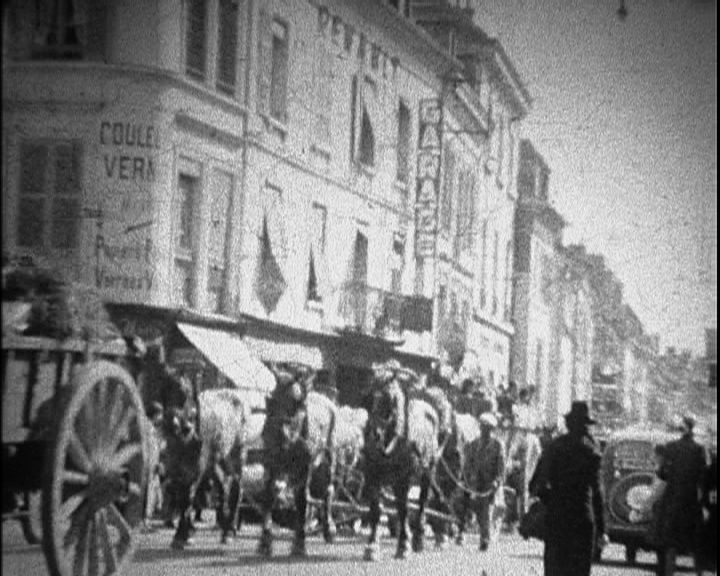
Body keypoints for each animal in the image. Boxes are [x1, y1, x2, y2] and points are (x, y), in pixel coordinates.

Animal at [258, 364, 338, 560]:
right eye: (270, 401)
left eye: (297, 403)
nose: (273, 435)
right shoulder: (271, 461)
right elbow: (268, 494)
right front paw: (265, 542)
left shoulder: (305, 466)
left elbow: (301, 500)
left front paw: (299, 545)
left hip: (328, 456)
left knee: (327, 489)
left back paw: (328, 529)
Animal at [362, 362, 442, 560]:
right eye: (367, 397)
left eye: (390, 400)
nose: (373, 435)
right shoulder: (372, 474)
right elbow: (376, 509)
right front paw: (372, 546)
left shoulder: (402, 479)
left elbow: (403, 509)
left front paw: (403, 544)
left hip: (427, 472)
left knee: (421, 503)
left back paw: (419, 538)